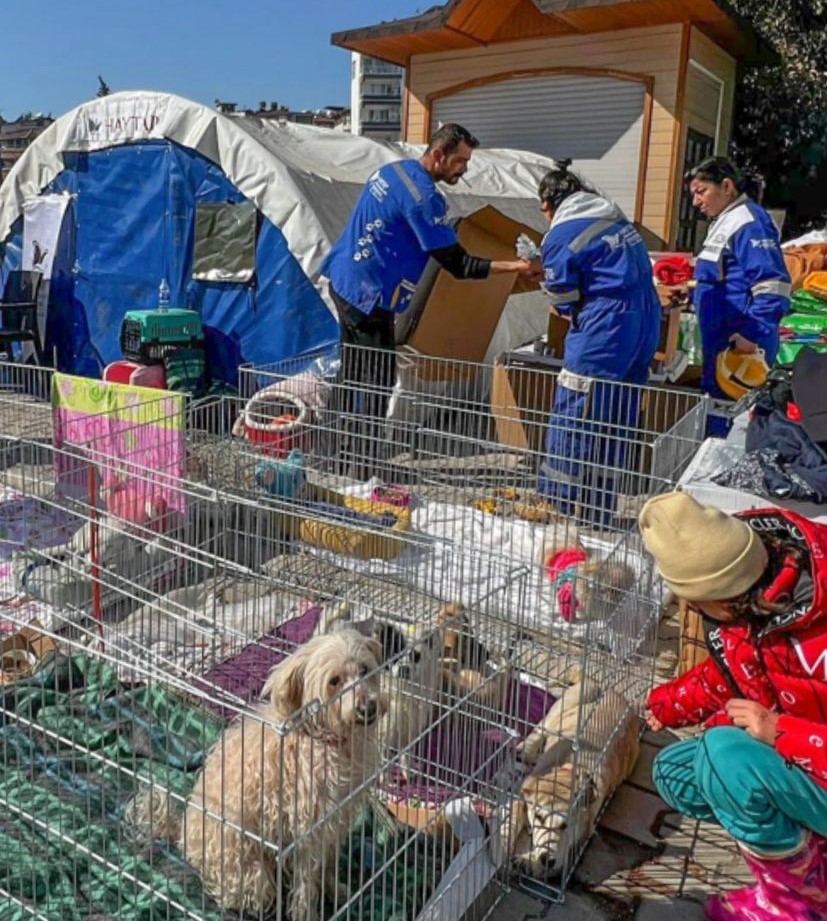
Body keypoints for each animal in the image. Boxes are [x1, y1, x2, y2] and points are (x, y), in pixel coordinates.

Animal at [128, 628, 386, 920]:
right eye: (334, 681)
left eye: (365, 670)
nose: (368, 708)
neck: (322, 737)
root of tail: (181, 834)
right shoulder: (307, 831)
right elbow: (306, 883)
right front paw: (307, 912)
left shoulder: (334, 823)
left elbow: (327, 865)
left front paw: (335, 889)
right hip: (252, 876)